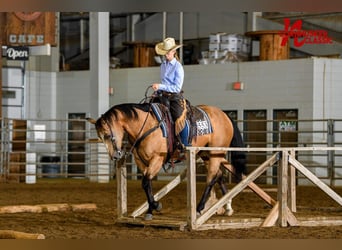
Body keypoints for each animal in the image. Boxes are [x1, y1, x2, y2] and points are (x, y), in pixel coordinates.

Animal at [85, 93, 246, 219]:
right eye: (100, 137)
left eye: (107, 135)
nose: (115, 156)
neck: (147, 125)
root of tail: (224, 115)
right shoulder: (141, 161)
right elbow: (147, 184)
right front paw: (150, 210)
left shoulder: (157, 159)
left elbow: (145, 182)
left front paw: (156, 206)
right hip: (206, 154)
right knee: (219, 175)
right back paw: (227, 207)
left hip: (215, 154)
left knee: (211, 178)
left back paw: (199, 208)